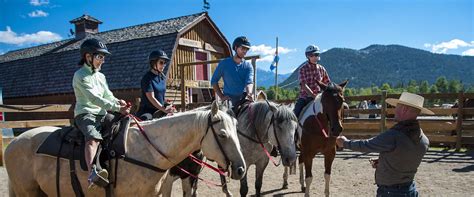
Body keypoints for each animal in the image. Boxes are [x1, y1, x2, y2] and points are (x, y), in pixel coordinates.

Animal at [5, 101, 246, 196]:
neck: (149, 150)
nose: (241, 169)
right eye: (223, 135)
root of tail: (12, 144)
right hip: (27, 192)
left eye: (237, 130)